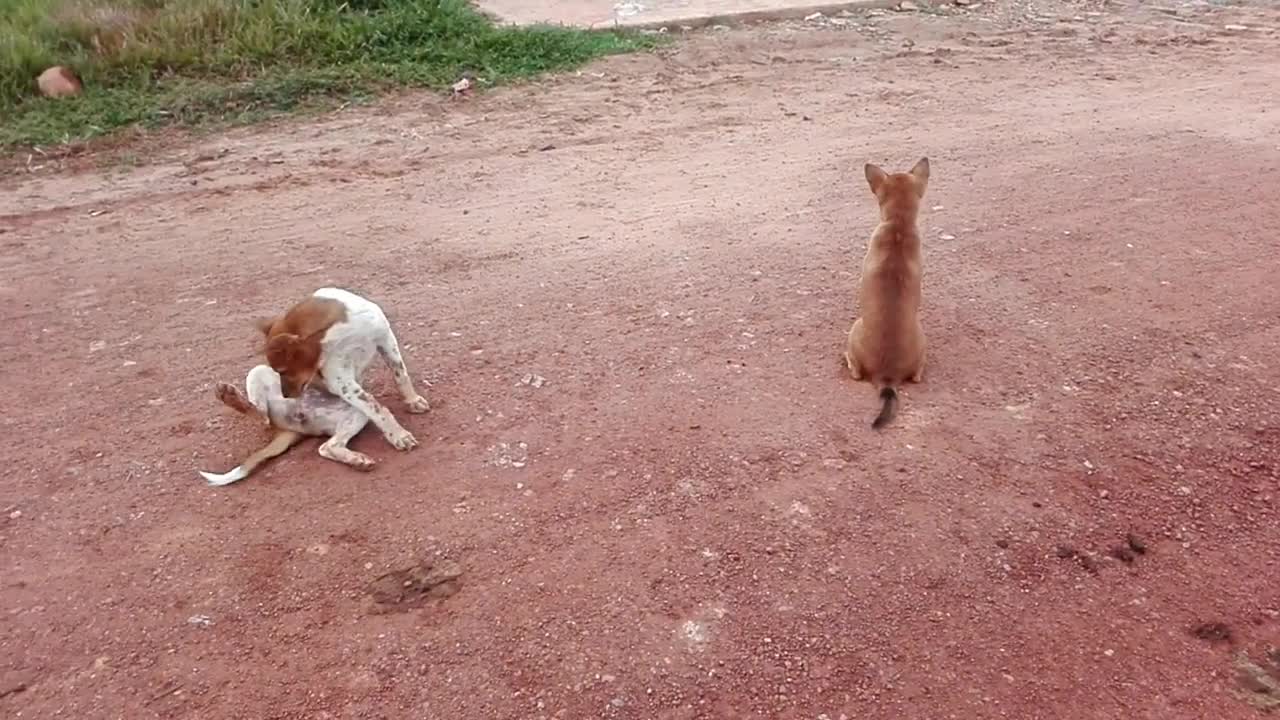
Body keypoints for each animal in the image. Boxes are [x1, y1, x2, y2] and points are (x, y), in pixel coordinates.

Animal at [254, 285, 430, 448]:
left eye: (282, 371)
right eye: (278, 372)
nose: (286, 396)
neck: (342, 333)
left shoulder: (386, 340)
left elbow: (401, 375)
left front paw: (412, 400)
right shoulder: (341, 381)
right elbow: (375, 408)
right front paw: (398, 435)